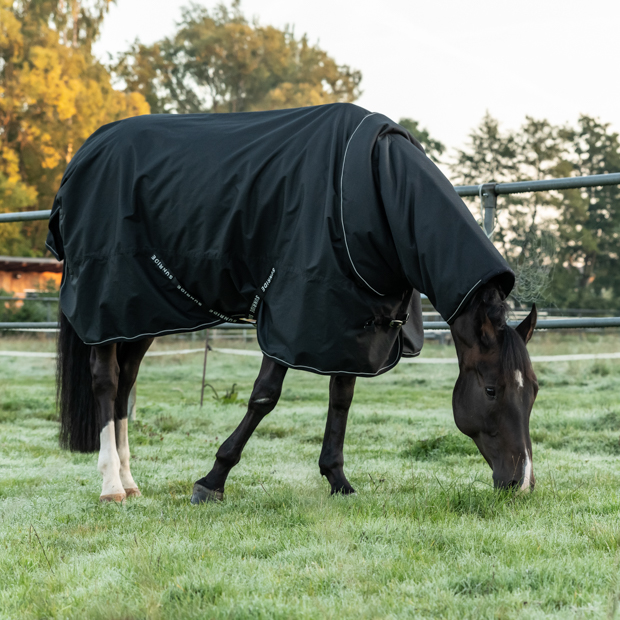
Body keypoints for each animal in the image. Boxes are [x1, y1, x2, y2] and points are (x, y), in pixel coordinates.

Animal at [48, 104, 536, 504]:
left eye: (532, 390)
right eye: (491, 390)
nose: (521, 483)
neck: (377, 191)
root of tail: (85, 154)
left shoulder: (350, 318)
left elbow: (342, 399)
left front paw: (338, 480)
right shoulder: (291, 312)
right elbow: (265, 396)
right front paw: (212, 480)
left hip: (139, 313)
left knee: (126, 383)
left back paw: (131, 482)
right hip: (105, 301)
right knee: (106, 382)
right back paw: (111, 485)